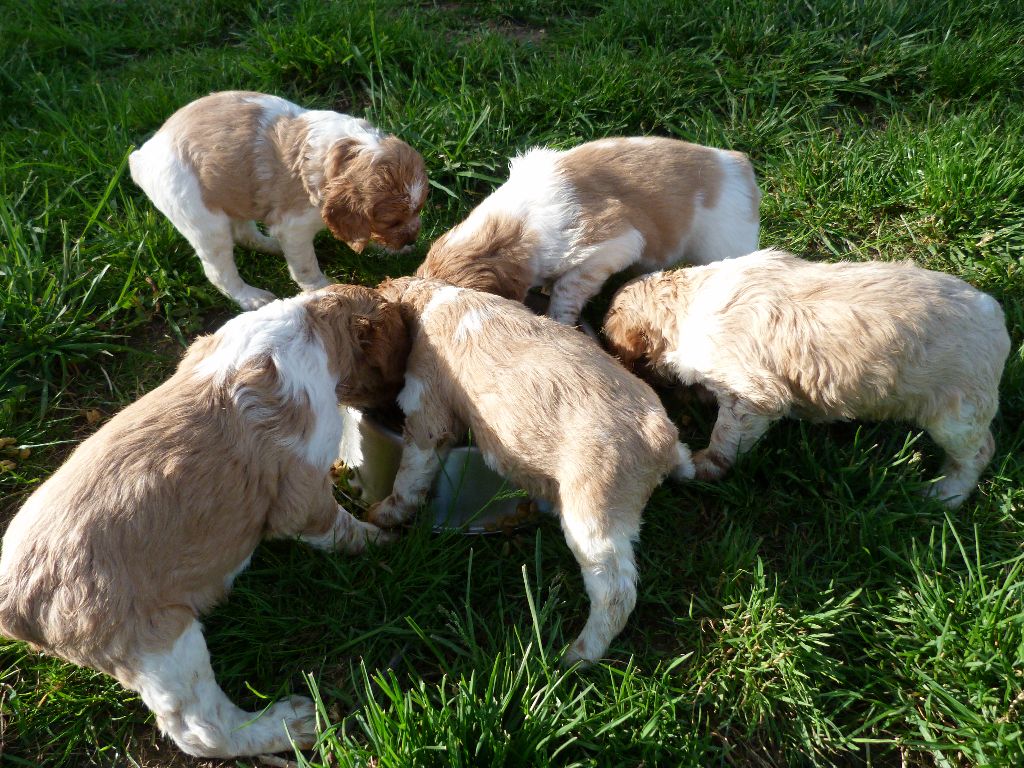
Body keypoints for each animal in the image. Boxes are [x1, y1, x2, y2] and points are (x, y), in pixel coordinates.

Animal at [0, 286, 411, 761]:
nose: (396, 413)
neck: (304, 321)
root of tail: (15, 607)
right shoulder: (303, 491)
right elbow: (340, 528)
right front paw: (386, 541)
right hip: (163, 645)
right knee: (203, 730)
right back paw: (291, 723)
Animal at [132, 94, 428, 313]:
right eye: (391, 221)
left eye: (419, 209)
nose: (412, 238)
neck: (345, 150)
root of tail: (142, 157)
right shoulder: (294, 226)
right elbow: (306, 266)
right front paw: (322, 287)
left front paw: (392, 250)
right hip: (204, 220)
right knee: (219, 271)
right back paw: (251, 297)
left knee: (244, 233)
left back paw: (272, 246)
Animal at [368, 278, 696, 667]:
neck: (438, 298)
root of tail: (660, 438)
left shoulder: (426, 409)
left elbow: (409, 475)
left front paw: (383, 513)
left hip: (593, 517)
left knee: (615, 592)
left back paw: (578, 655)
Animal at [413, 138, 761, 325]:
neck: (516, 227)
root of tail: (738, 164)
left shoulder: (611, 245)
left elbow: (568, 288)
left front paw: (559, 319)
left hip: (726, 246)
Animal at [602, 249, 1011, 507]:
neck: (687, 301)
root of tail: (996, 316)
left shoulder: (753, 393)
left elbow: (725, 437)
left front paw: (704, 464)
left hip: (956, 414)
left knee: (980, 451)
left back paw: (946, 494)